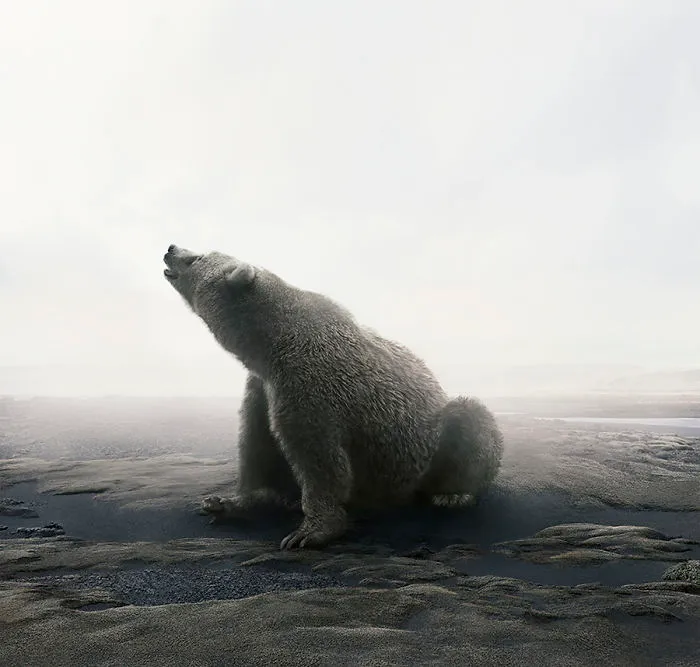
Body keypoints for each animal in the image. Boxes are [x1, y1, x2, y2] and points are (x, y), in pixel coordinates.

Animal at [163, 244, 504, 549]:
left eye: (198, 257)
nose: (170, 249)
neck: (273, 341)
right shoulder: (262, 387)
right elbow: (257, 444)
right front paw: (225, 502)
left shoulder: (310, 383)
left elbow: (320, 458)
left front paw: (308, 532)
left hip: (429, 444)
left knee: (468, 419)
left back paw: (453, 493)